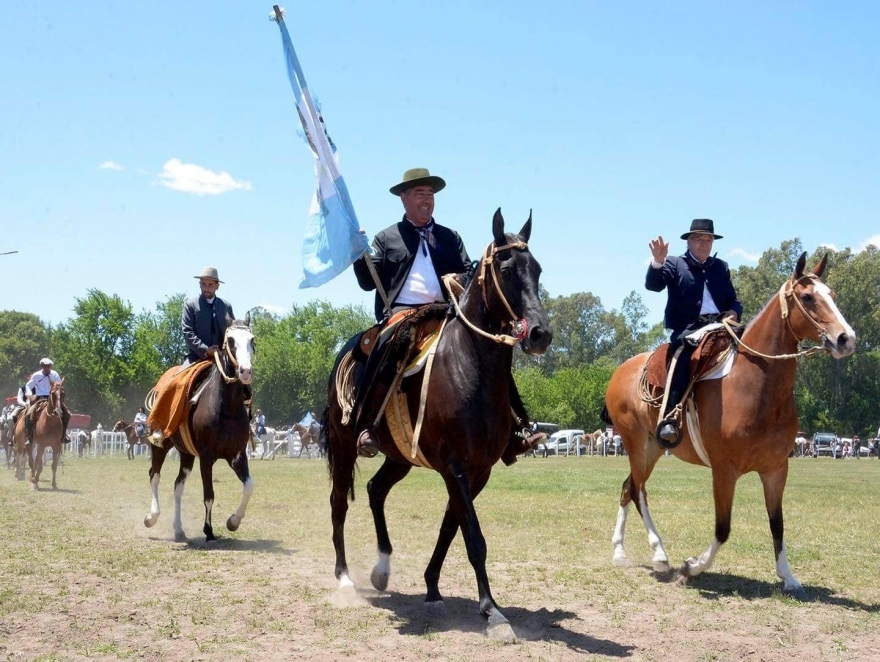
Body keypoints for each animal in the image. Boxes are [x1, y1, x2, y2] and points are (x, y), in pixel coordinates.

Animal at [143, 320, 256, 544]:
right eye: (231, 340)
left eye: (252, 340)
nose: (245, 371)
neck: (227, 407)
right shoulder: (206, 456)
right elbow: (209, 495)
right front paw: (209, 531)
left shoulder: (237, 455)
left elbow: (248, 486)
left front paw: (233, 521)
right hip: (160, 446)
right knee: (154, 475)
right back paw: (152, 517)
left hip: (186, 454)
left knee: (178, 486)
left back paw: (179, 529)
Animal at [324, 209, 552, 644]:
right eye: (505, 268)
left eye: (537, 268)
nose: (540, 334)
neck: (468, 367)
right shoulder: (454, 465)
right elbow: (473, 536)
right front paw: (493, 612)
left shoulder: (477, 470)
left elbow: (453, 526)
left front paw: (433, 588)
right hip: (343, 445)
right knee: (339, 502)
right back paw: (343, 578)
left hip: (399, 457)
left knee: (375, 490)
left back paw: (382, 570)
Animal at [600, 255, 856, 596]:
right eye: (807, 297)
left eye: (832, 294)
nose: (846, 338)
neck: (754, 384)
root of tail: (620, 372)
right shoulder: (724, 470)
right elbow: (723, 528)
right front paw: (691, 567)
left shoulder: (776, 469)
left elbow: (777, 523)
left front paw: (788, 577)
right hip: (636, 444)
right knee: (639, 491)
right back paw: (659, 554)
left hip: (652, 448)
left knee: (628, 487)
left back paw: (620, 552)